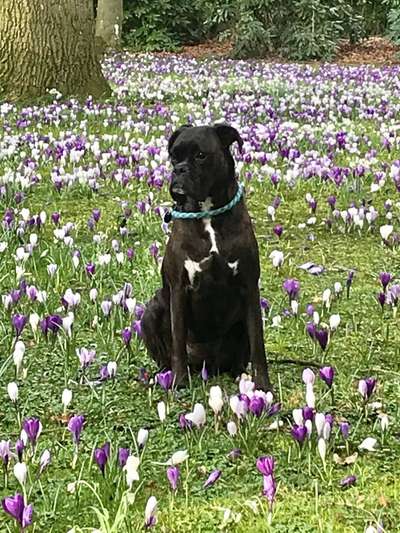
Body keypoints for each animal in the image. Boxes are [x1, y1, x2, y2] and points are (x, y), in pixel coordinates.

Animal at [141, 124, 272, 390]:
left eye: (201, 156)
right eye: (174, 156)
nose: (179, 170)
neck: (209, 212)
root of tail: (208, 367)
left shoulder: (250, 287)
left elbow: (258, 343)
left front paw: (263, 385)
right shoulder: (179, 289)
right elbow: (178, 343)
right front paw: (179, 383)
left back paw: (241, 374)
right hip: (151, 311)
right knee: (168, 355)